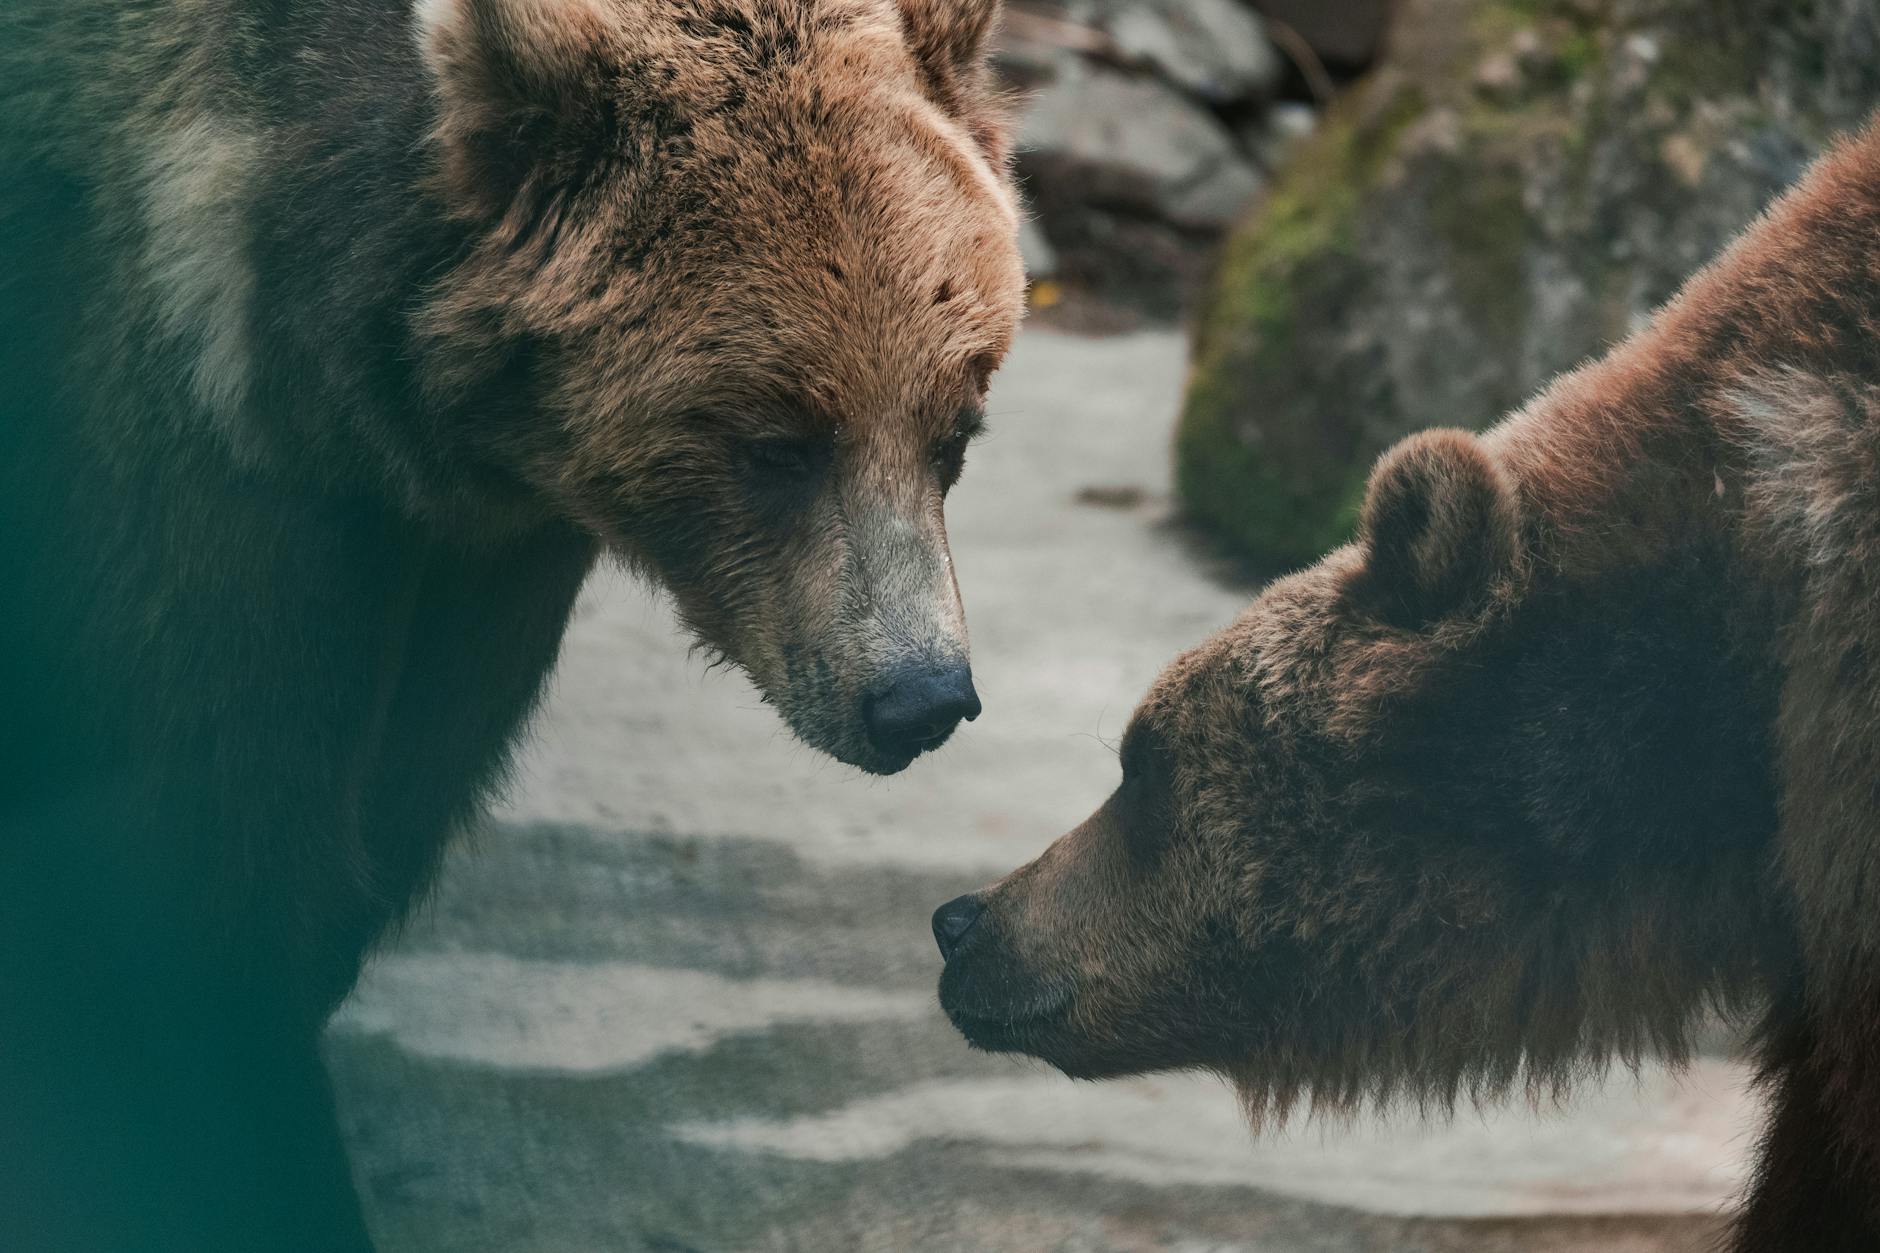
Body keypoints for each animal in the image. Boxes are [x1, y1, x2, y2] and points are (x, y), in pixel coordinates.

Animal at [0, 0, 1022, 1248]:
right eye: (776, 442)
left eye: (952, 426)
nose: (917, 697)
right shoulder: (180, 451)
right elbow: (195, 847)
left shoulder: (479, 560)